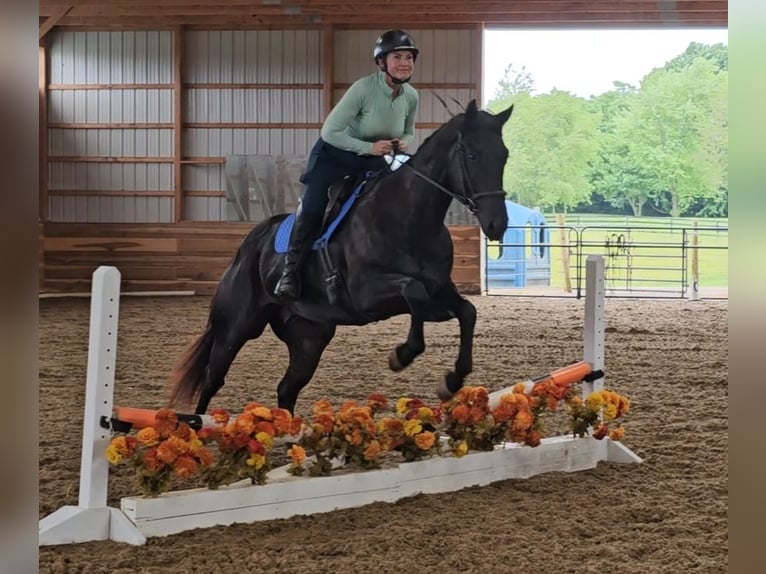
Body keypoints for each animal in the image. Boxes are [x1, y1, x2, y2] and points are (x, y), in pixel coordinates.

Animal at [171, 101, 512, 416]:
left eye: (504, 155)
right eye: (472, 155)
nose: (497, 224)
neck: (410, 218)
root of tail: (246, 248)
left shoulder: (440, 289)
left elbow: (465, 311)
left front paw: (451, 380)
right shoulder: (366, 294)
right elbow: (413, 291)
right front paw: (402, 355)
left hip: (309, 336)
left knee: (287, 388)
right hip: (236, 328)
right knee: (213, 378)